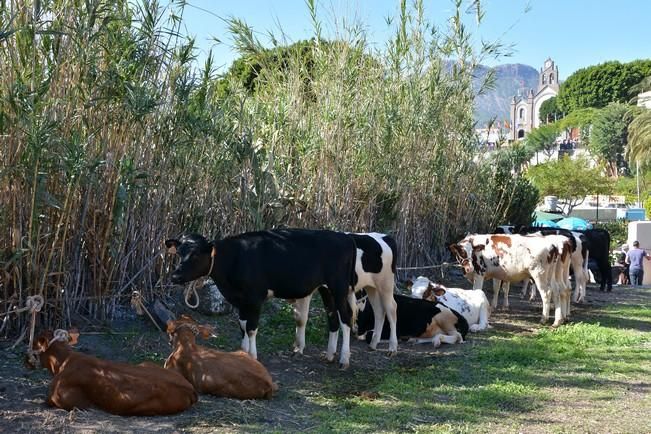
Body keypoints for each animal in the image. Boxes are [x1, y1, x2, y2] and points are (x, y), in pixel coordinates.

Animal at [163, 229, 356, 368]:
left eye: (195, 254)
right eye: (179, 253)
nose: (175, 276)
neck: (234, 258)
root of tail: (344, 237)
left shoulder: (255, 298)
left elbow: (251, 328)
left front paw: (253, 356)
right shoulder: (240, 300)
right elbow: (242, 325)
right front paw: (243, 352)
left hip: (339, 287)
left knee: (346, 318)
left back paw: (344, 360)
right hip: (325, 288)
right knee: (332, 318)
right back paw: (330, 355)